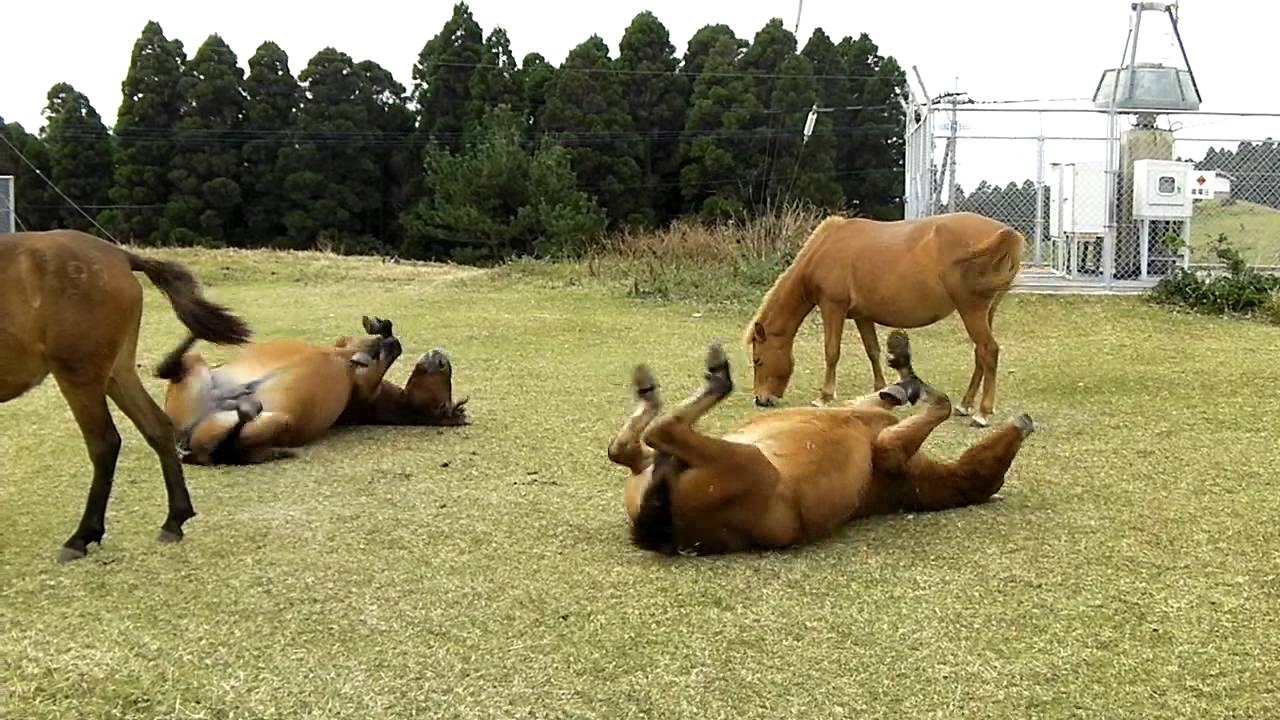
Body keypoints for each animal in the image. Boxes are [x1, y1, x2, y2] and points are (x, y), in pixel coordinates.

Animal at [0, 229, 252, 562]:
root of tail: (120, 255)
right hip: (117, 371)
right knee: (156, 426)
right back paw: (174, 520)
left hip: (80, 373)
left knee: (105, 443)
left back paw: (81, 537)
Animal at [158, 316, 468, 465]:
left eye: (443, 406)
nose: (441, 358)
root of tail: (184, 439)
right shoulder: (344, 346)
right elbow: (381, 342)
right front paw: (380, 330)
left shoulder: (362, 392)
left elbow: (387, 353)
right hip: (198, 370)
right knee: (171, 366)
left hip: (277, 420)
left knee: (229, 449)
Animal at [606, 329, 1035, 556]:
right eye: (1002, 462)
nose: (1027, 422)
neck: (911, 484)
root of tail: (660, 530)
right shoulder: (870, 420)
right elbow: (918, 397)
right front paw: (903, 368)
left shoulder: (886, 448)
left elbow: (938, 404)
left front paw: (905, 376)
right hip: (680, 460)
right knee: (633, 444)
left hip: (742, 460)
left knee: (656, 433)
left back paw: (709, 379)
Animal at [744, 212, 1025, 427]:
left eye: (758, 361)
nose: (761, 400)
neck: (826, 248)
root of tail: (1004, 234)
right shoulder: (862, 316)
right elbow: (873, 351)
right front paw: (878, 390)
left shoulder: (832, 307)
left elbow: (832, 351)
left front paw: (824, 396)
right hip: (985, 312)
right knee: (980, 355)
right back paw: (966, 405)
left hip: (971, 310)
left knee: (989, 351)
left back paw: (982, 413)